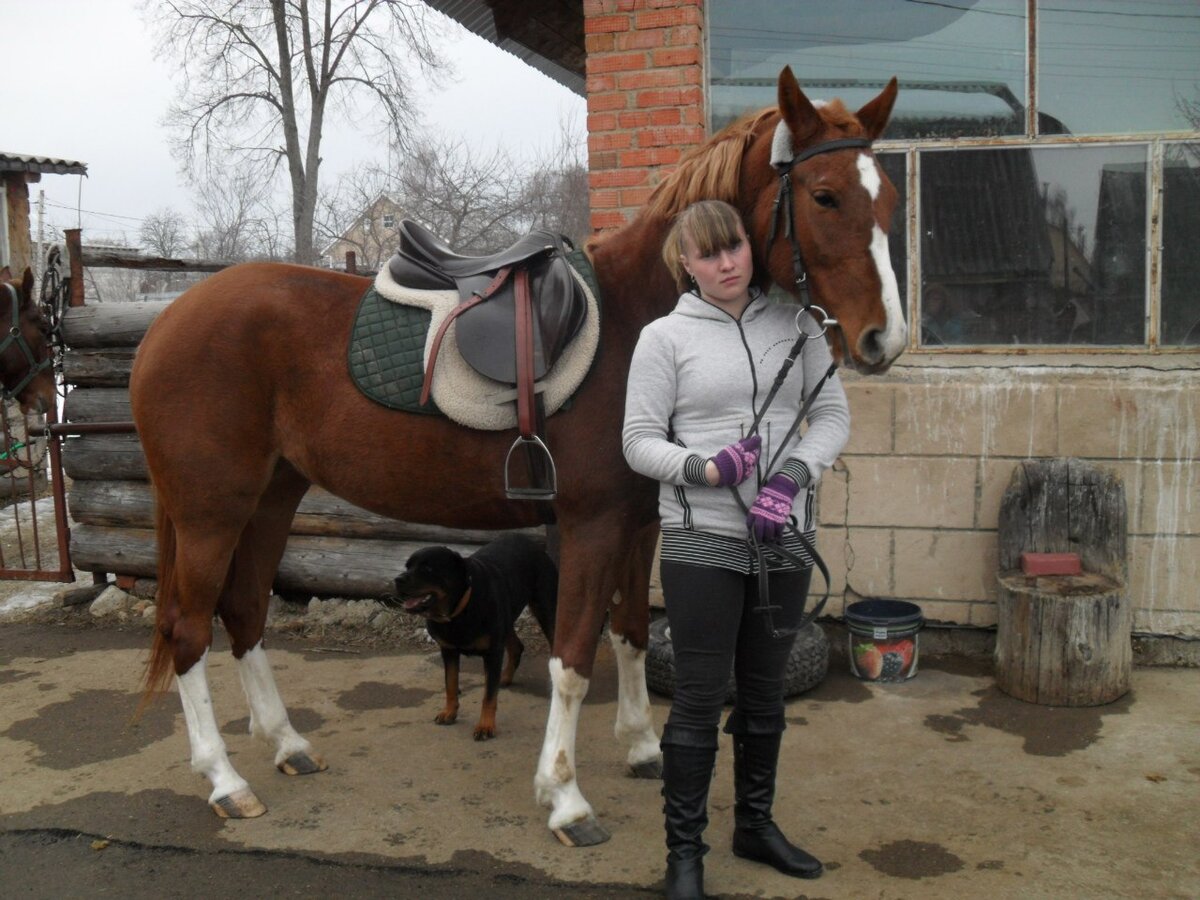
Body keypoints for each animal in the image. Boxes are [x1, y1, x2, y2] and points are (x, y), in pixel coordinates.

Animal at [381, 535, 554, 739]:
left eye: (428, 569)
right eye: (407, 566)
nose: (398, 579)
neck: (458, 610)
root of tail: (532, 543)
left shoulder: (492, 653)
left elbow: (488, 696)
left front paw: (486, 726)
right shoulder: (448, 650)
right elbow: (451, 683)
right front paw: (449, 712)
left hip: (545, 607)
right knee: (516, 646)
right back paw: (504, 677)